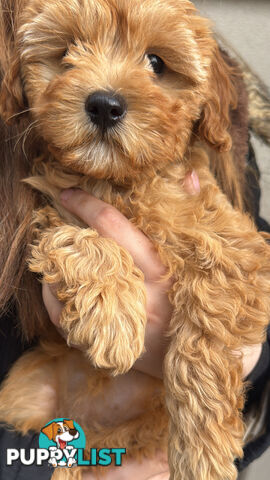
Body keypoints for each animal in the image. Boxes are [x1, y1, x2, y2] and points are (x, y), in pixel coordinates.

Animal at [0, 0, 270, 480]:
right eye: (68, 52)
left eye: (157, 63)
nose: (104, 105)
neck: (122, 182)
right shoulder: (51, 206)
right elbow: (74, 237)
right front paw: (111, 315)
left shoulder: (236, 247)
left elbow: (206, 331)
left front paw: (202, 452)